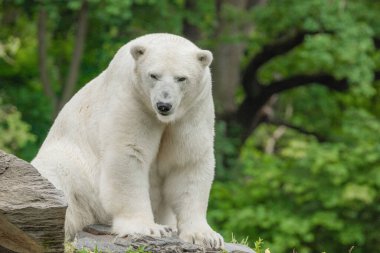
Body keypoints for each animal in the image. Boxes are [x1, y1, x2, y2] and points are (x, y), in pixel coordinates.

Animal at [32, 33, 224, 247]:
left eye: (181, 78)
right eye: (153, 75)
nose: (164, 105)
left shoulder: (193, 110)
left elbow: (187, 162)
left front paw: (206, 236)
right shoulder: (132, 100)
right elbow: (129, 153)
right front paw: (149, 228)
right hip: (70, 168)